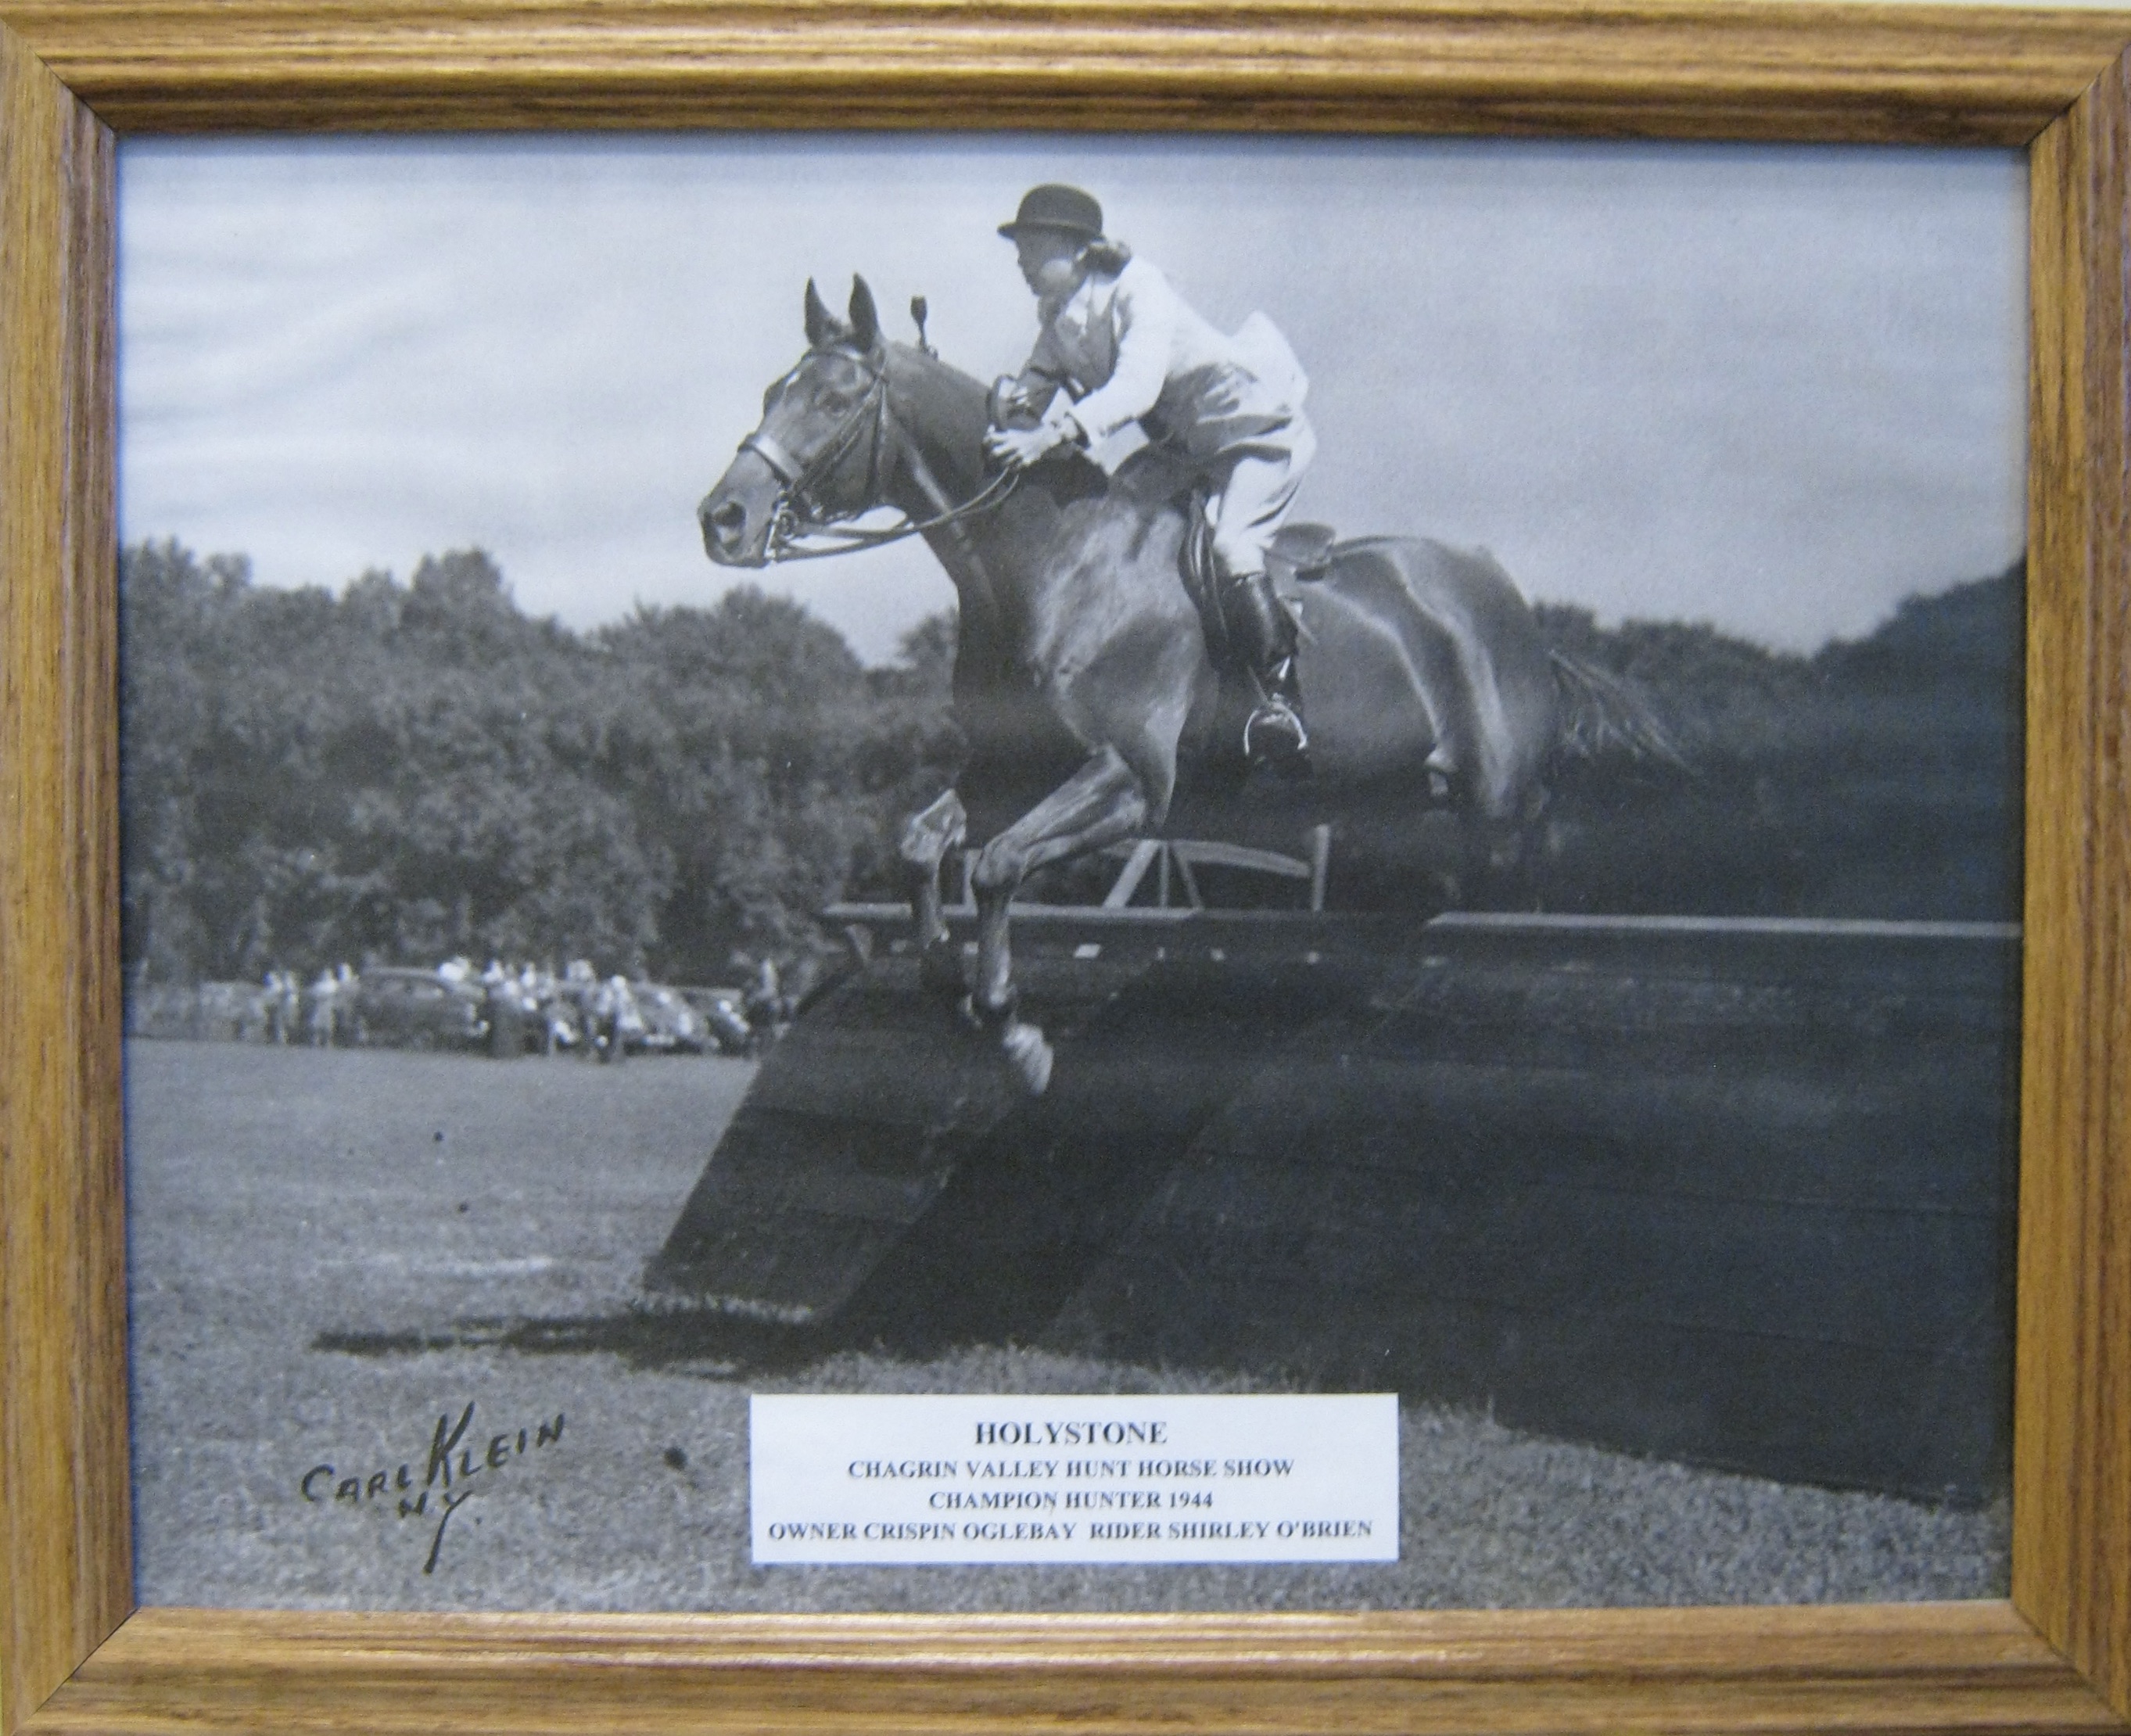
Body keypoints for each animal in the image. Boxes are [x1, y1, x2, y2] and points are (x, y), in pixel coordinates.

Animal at [698, 281, 1662, 1099]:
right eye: (769, 393)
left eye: (832, 402)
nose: (722, 521)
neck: (1046, 562)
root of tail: (1514, 610)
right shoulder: (1009, 768)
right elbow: (921, 842)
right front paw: (942, 976)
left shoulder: (1132, 780)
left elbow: (1001, 863)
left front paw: (1013, 1029)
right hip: (1394, 815)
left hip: (1497, 813)